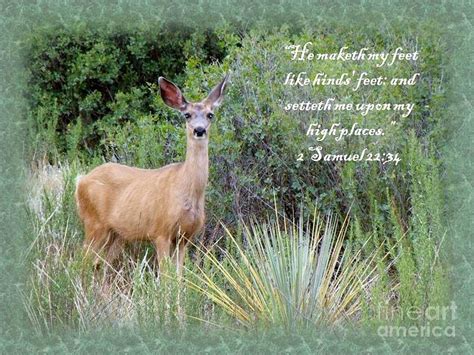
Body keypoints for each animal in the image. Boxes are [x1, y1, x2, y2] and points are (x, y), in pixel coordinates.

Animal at [75, 73, 229, 272]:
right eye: (187, 115)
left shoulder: (184, 237)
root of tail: (80, 181)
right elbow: (166, 275)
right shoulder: (160, 231)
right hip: (94, 222)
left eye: (210, 114)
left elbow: (179, 275)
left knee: (101, 264)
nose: (199, 130)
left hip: (116, 233)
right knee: (81, 261)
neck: (187, 190)